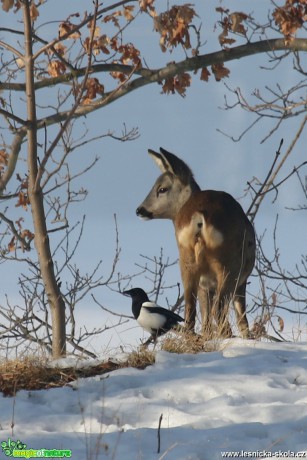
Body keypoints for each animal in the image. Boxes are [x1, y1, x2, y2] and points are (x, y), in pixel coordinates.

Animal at [138, 147, 258, 338]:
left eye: (162, 188)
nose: (139, 210)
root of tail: (199, 216)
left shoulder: (205, 283)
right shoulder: (240, 280)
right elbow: (241, 316)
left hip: (186, 261)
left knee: (190, 311)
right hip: (229, 265)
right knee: (219, 309)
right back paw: (227, 336)